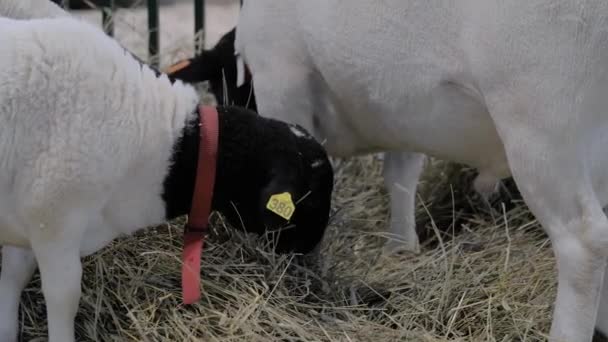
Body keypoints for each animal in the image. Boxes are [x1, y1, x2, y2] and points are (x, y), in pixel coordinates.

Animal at [0, 6, 332, 342]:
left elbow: (13, 277)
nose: (311, 252)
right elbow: (64, 297)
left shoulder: (25, 223)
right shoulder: (54, 220)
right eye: (311, 196)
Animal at [236, 1, 608, 340]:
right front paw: (400, 247)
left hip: (539, 118)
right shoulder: (401, 109)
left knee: (583, 241)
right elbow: (401, 173)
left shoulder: (280, 72)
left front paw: (292, 269)